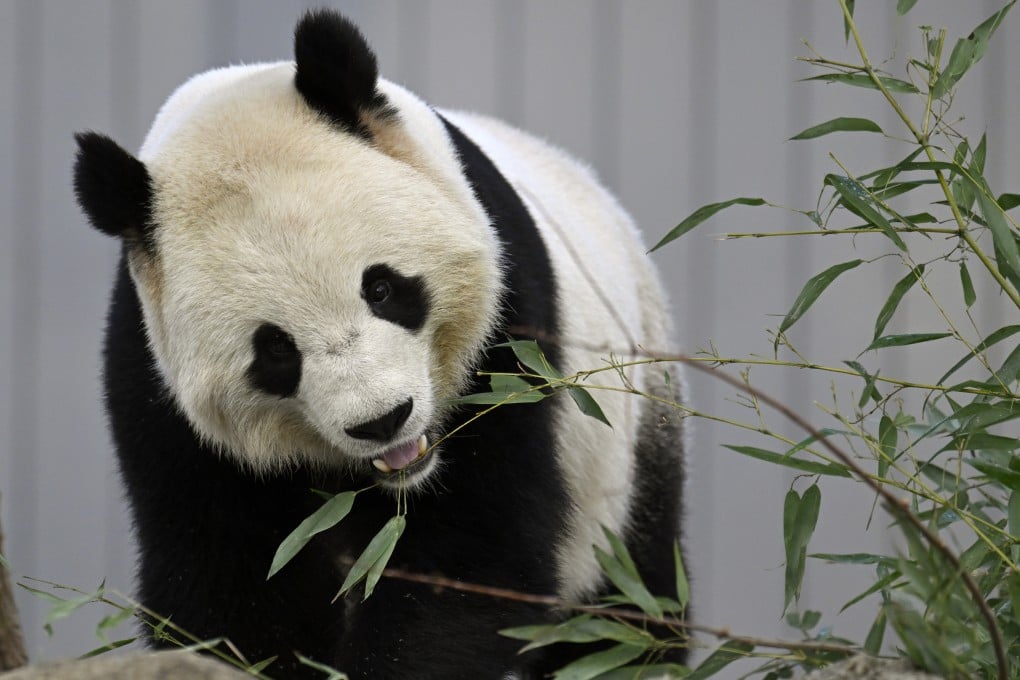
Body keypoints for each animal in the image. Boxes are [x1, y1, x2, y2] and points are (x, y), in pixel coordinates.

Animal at [73, 10, 686, 680]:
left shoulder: (511, 337)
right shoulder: (160, 392)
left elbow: (469, 557)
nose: (382, 420)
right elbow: (222, 580)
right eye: (274, 350)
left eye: (383, 288)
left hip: (628, 445)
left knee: (626, 609)